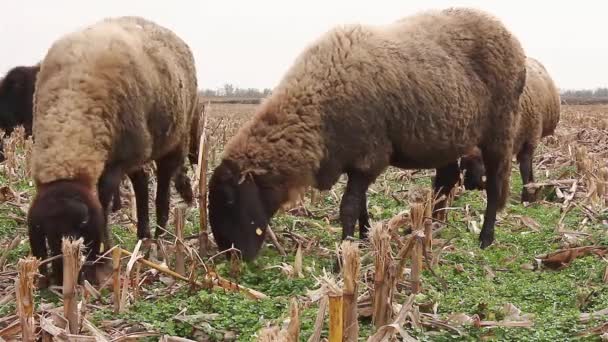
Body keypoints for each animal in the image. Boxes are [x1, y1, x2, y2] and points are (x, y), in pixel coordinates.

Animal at [26, 15, 197, 286]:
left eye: (81, 232)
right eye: (48, 237)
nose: (65, 280)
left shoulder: (118, 162)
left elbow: (105, 197)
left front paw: (103, 256)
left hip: (171, 138)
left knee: (161, 188)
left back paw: (160, 237)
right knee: (141, 182)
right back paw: (143, 235)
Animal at [208, 7, 528, 262]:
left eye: (230, 201)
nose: (231, 255)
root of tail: (513, 39)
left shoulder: (369, 157)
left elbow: (348, 207)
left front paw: (343, 254)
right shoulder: (355, 160)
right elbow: (360, 204)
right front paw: (362, 239)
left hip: (500, 128)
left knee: (495, 186)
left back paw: (486, 238)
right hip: (451, 138)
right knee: (446, 182)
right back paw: (432, 229)